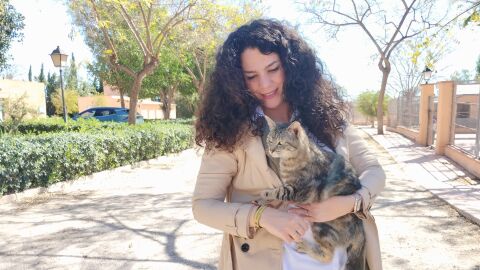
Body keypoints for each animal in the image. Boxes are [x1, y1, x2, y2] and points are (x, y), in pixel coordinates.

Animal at [260, 116, 366, 270]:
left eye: (280, 143)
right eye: (270, 140)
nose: (271, 150)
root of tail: (360, 228)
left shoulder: (300, 191)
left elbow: (279, 192)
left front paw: (263, 195)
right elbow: (279, 192)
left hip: (321, 226)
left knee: (327, 255)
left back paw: (306, 247)